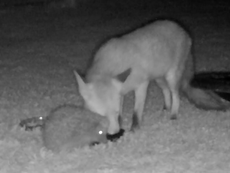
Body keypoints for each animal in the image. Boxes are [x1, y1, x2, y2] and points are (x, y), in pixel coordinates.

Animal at [73, 19, 228, 134]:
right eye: (102, 117)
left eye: (115, 114)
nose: (114, 134)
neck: (111, 64)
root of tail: (183, 30)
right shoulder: (122, 91)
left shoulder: (142, 84)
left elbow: (136, 112)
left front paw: (134, 129)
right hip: (159, 78)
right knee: (166, 92)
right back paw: (166, 106)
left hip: (171, 77)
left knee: (176, 95)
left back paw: (173, 114)